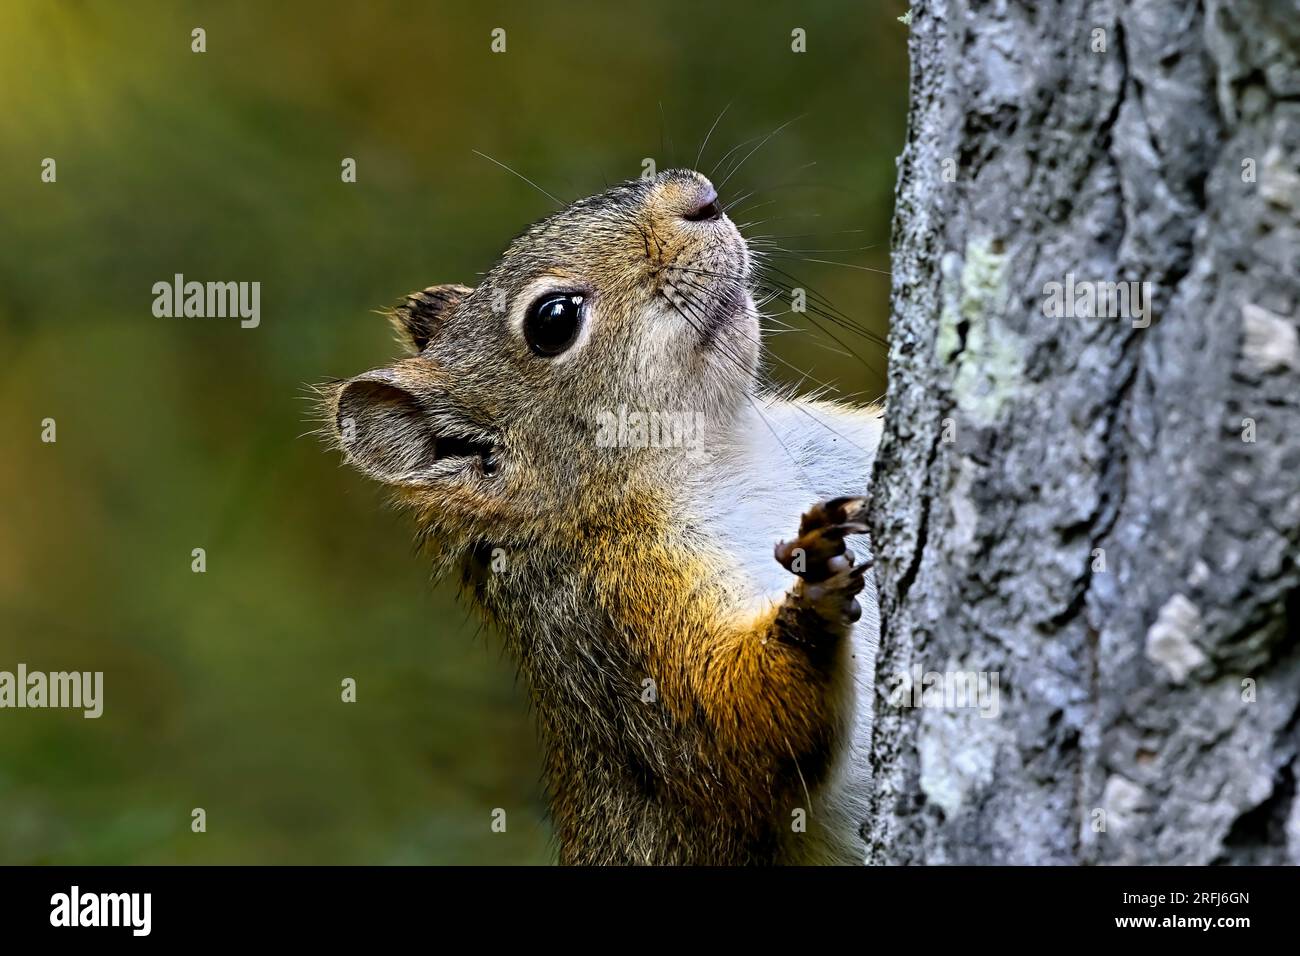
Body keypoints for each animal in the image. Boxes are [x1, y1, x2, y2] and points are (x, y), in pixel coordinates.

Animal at [324, 169, 884, 864]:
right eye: (553, 320)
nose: (697, 196)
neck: (723, 445)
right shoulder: (614, 613)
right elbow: (737, 733)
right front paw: (814, 595)